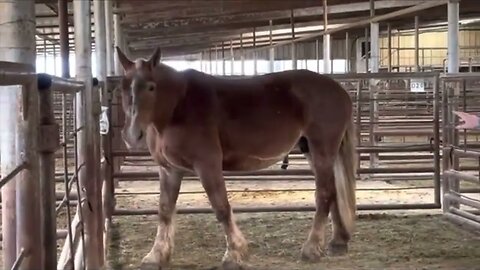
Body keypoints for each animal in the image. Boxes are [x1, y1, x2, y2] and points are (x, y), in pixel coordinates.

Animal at [116, 47, 356, 268]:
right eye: (123, 87)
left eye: (151, 86)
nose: (132, 135)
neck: (178, 106)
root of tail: (340, 91)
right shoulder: (169, 170)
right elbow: (165, 211)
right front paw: (156, 256)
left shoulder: (207, 165)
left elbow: (221, 207)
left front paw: (234, 253)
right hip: (312, 151)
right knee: (333, 193)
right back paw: (337, 242)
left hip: (322, 150)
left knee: (324, 195)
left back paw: (312, 248)